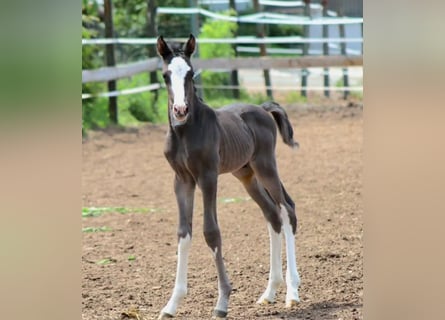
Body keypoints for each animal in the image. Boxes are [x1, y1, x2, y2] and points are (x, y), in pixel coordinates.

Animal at [157, 33, 302, 318]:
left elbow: (211, 232)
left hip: (265, 166)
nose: (180, 110)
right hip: (246, 175)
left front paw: (222, 302)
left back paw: (291, 293)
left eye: (190, 73)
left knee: (287, 209)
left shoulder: (207, 176)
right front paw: (171, 305)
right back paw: (269, 292)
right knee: (272, 214)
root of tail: (262, 108)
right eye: (166, 75)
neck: (185, 132)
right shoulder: (182, 180)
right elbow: (184, 233)